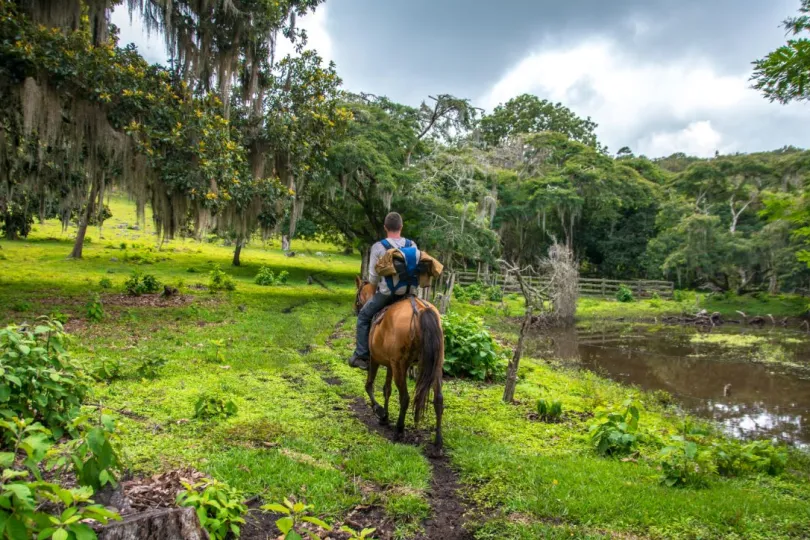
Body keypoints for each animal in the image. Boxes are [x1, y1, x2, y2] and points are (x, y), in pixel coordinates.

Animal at [352, 278, 446, 448]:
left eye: (357, 295)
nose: (355, 310)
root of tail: (420, 310)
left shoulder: (376, 360)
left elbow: (369, 386)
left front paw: (380, 410)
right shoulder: (390, 364)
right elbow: (386, 389)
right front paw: (385, 417)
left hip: (400, 366)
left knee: (405, 398)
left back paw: (399, 431)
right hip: (434, 366)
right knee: (438, 399)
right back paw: (438, 442)